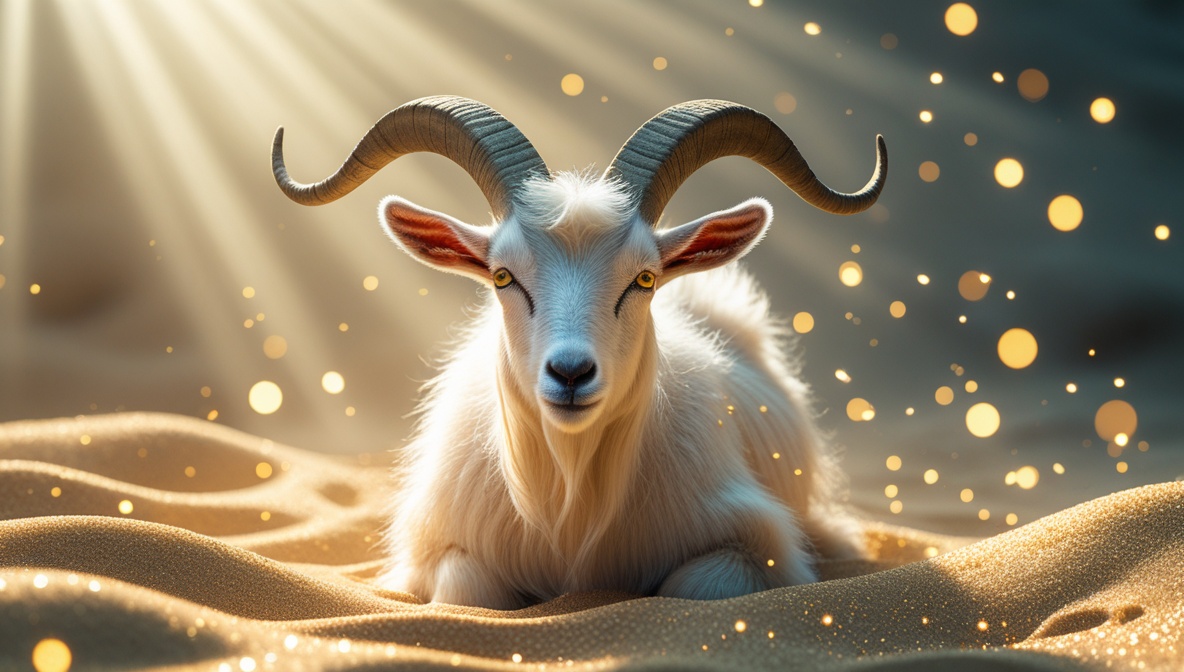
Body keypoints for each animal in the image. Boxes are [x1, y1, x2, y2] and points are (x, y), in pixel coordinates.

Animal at [272, 96, 887, 608]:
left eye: (644, 278)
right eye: (502, 275)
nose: (571, 373)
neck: (570, 500)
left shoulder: (759, 543)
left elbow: (697, 586)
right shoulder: (439, 544)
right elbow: (470, 591)